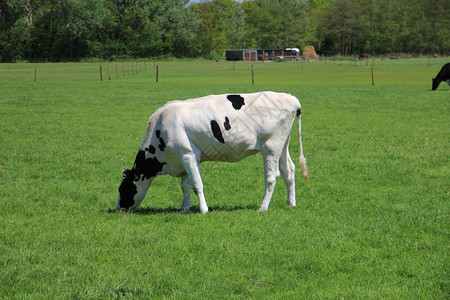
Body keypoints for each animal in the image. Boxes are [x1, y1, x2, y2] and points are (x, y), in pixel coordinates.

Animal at [115, 91, 310, 213]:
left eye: (123, 189)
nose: (118, 209)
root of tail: (291, 99)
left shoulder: (187, 155)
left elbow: (197, 184)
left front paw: (203, 210)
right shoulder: (186, 159)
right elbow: (186, 186)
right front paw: (184, 208)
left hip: (271, 146)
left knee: (272, 176)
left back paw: (263, 207)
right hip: (282, 145)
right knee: (288, 170)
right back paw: (291, 203)